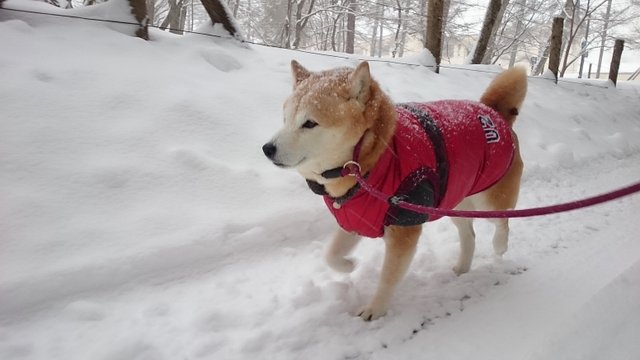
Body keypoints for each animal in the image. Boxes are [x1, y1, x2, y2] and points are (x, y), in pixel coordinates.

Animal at [262, 59, 528, 320]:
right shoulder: (358, 218)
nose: (267, 148)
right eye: (285, 119)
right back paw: (463, 267)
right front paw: (349, 265)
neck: (368, 162)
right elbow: (330, 255)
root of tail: (493, 110)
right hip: (455, 201)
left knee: (503, 220)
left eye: (309, 123)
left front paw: (376, 309)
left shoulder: (404, 228)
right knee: (469, 235)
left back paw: (500, 245)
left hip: (488, 200)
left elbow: (388, 277)